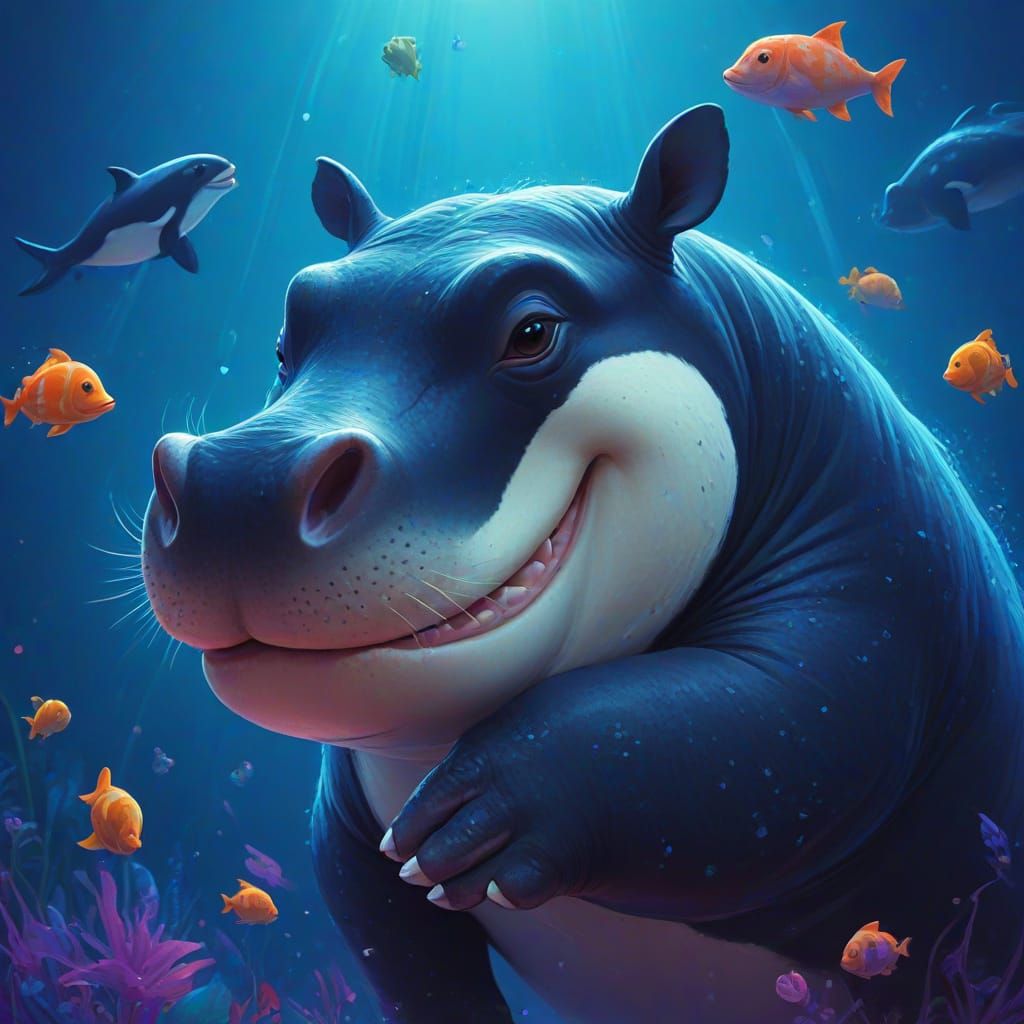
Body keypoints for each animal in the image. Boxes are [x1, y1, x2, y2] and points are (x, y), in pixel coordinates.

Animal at [142, 104, 1024, 1022]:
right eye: (285, 343)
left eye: (532, 332)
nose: (237, 484)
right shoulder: (357, 870)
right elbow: (419, 971)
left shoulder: (886, 604)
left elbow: (787, 725)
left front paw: (492, 804)